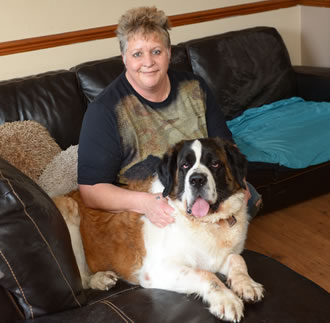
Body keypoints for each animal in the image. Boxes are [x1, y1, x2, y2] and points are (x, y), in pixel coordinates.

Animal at [55, 138, 264, 322]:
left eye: (214, 164)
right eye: (184, 166)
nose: (197, 179)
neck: (207, 222)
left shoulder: (218, 257)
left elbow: (237, 258)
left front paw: (246, 283)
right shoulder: (157, 271)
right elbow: (206, 275)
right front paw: (227, 300)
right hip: (68, 209)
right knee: (81, 279)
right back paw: (100, 279)